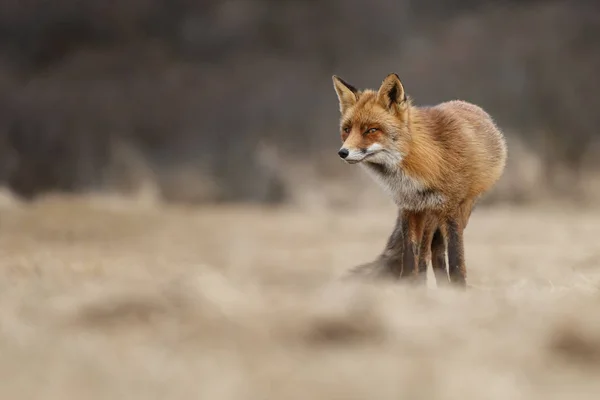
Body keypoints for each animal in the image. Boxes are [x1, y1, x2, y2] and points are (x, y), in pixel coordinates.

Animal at [332, 73, 506, 286]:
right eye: (347, 129)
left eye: (371, 130)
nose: (343, 152)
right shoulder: (409, 208)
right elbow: (409, 258)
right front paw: (409, 287)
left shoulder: (451, 210)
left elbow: (456, 260)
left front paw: (459, 288)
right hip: (428, 215)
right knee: (426, 253)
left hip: (461, 208)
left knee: (436, 249)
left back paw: (445, 287)